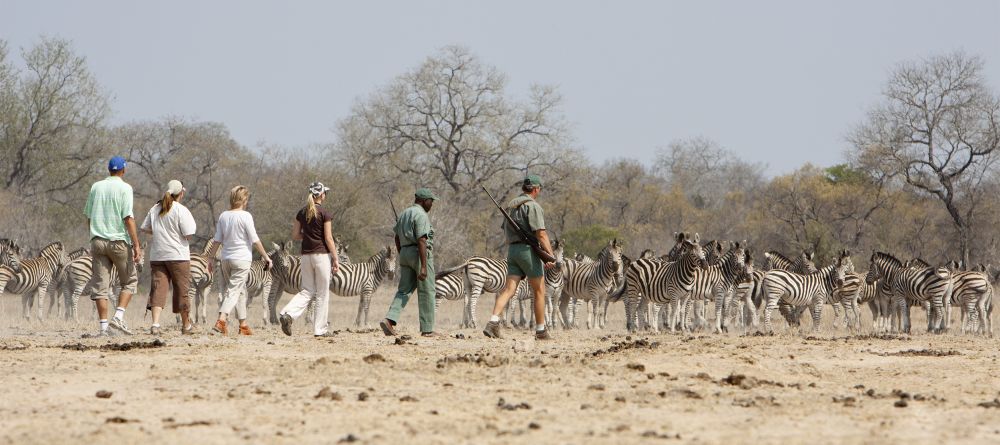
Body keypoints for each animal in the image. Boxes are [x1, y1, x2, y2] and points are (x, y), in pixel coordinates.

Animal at [268, 242, 397, 327]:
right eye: (386, 261)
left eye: (394, 261)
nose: (391, 275)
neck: (372, 272)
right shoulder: (367, 290)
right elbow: (366, 307)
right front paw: (367, 324)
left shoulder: (363, 291)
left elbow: (360, 307)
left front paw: (357, 324)